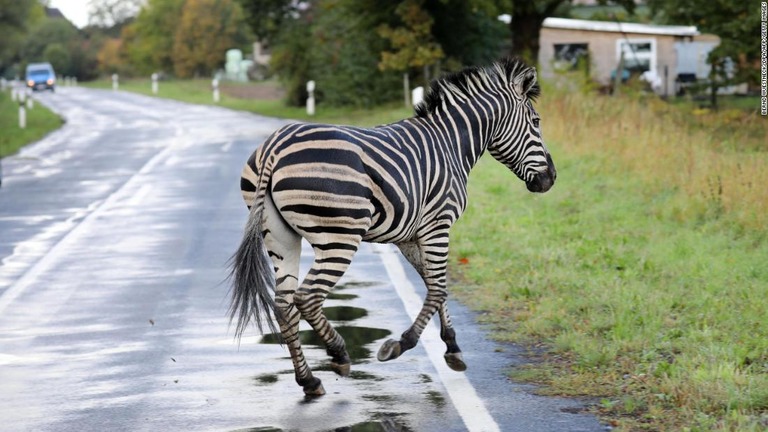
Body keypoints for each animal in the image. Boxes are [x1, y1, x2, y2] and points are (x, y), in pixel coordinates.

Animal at [231, 56, 556, 394]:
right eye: (536, 121)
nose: (551, 179)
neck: (451, 144)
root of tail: (274, 147)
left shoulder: (410, 236)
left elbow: (434, 285)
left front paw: (453, 348)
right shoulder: (438, 225)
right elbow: (437, 288)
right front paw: (401, 344)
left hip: (280, 236)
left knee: (284, 304)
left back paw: (308, 380)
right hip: (339, 237)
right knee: (306, 297)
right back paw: (339, 353)